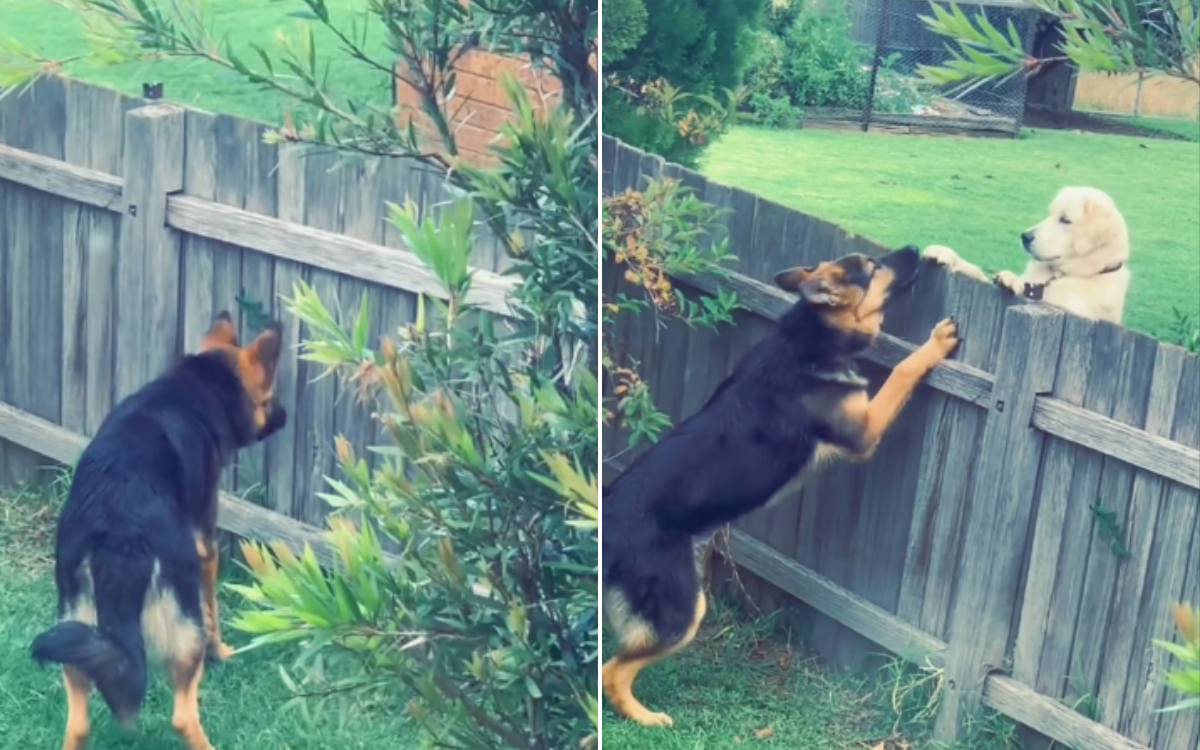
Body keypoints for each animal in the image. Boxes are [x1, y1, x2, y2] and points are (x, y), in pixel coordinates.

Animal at [31, 309, 285, 748]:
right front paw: (222, 652)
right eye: (270, 397)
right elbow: (213, 606)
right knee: (183, 715)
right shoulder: (206, 545)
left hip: (76, 633)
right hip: (182, 632)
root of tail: (116, 530)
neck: (196, 388)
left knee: (77, 722)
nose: (285, 417)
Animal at [604, 246, 960, 724]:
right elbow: (902, 370)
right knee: (612, 672)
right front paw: (936, 343)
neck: (810, 333)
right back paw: (645, 718)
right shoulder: (864, 431)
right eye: (873, 266)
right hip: (684, 607)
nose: (916, 250)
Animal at [921, 186, 1128, 324]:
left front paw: (1011, 280)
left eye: (1065, 220)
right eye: (1050, 214)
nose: (1025, 237)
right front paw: (944, 253)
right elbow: (976, 271)